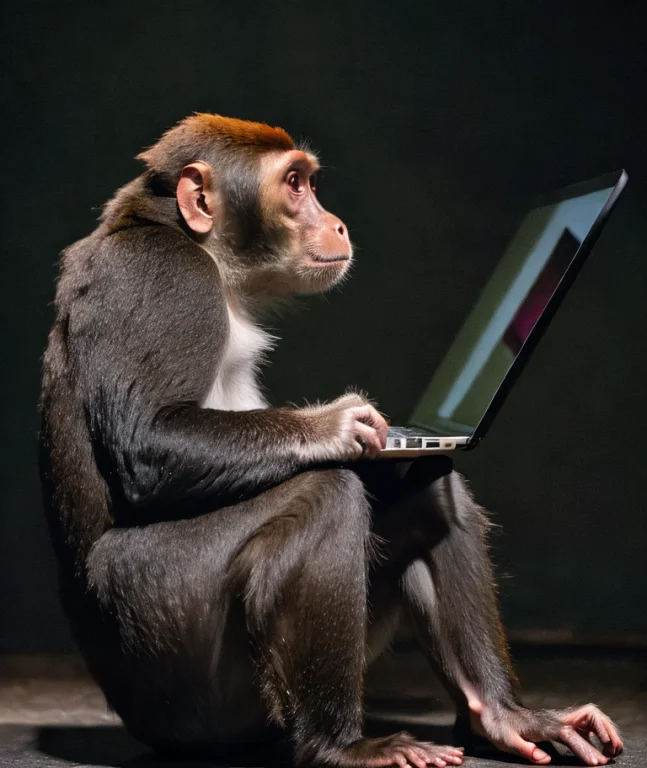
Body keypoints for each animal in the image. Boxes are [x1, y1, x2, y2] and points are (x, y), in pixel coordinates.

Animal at [39, 114, 623, 768]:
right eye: (295, 185)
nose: (336, 221)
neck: (193, 243)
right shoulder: (164, 276)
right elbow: (147, 442)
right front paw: (337, 427)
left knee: (427, 486)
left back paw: (498, 715)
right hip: (164, 645)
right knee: (324, 497)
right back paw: (337, 744)